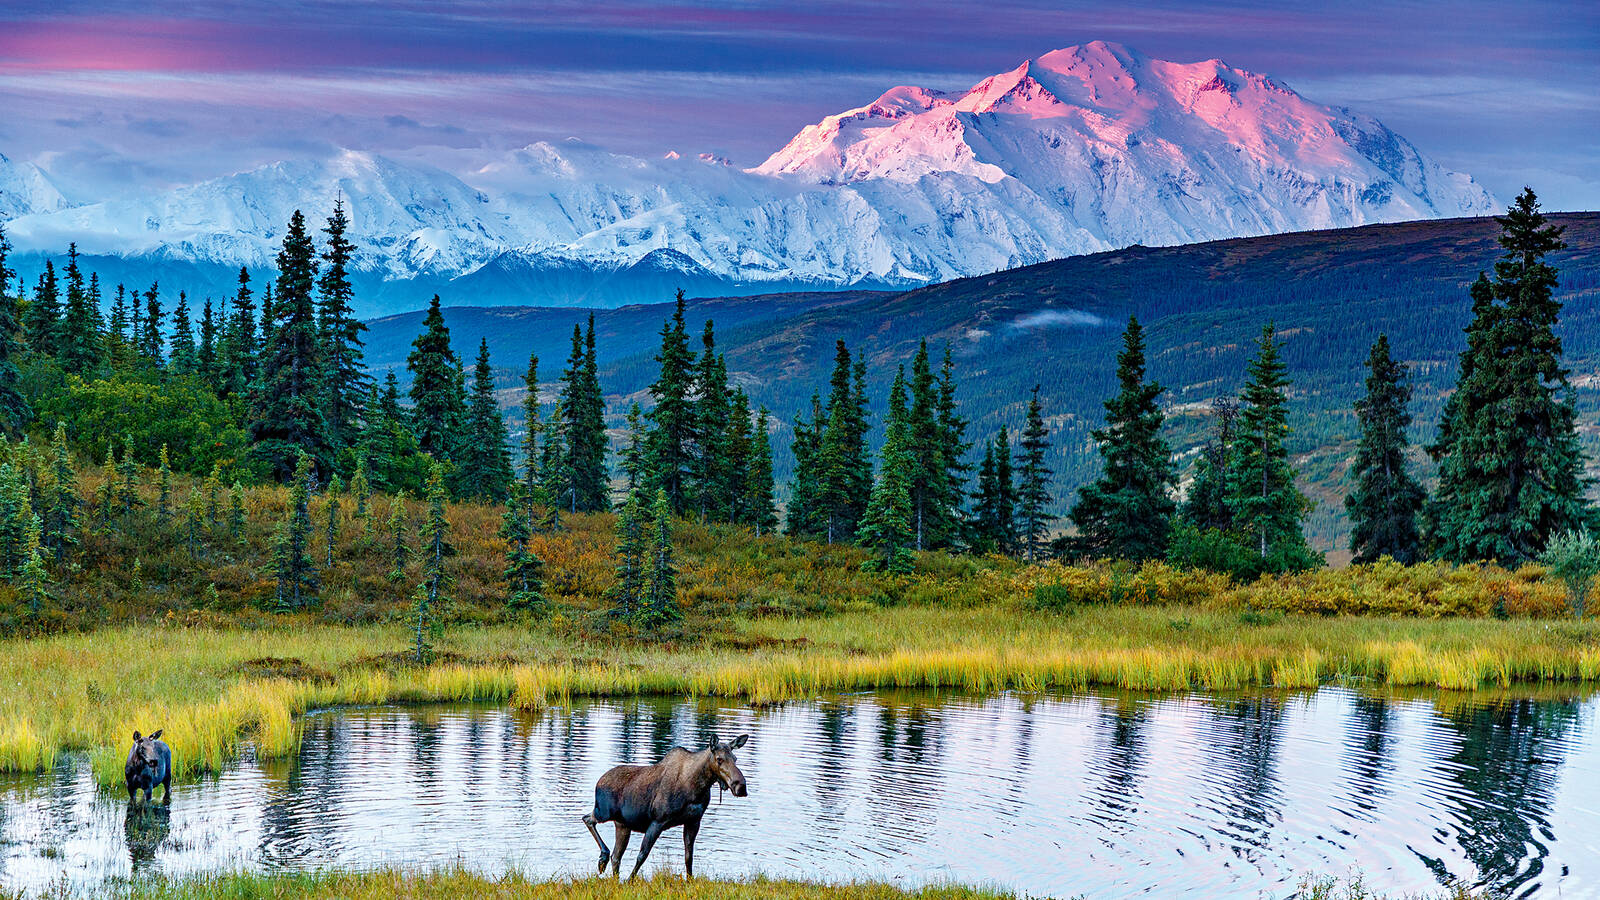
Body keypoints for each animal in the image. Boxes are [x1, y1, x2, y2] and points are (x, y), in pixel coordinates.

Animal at [582, 734, 749, 879]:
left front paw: (690, 881)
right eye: (719, 759)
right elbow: (642, 855)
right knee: (587, 819)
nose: (740, 786)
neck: (697, 786)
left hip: (622, 825)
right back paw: (602, 859)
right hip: (603, 812)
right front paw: (630, 880)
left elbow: (689, 857)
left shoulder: (693, 821)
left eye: (735, 758)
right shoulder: (657, 821)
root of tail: (599, 781)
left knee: (616, 856)